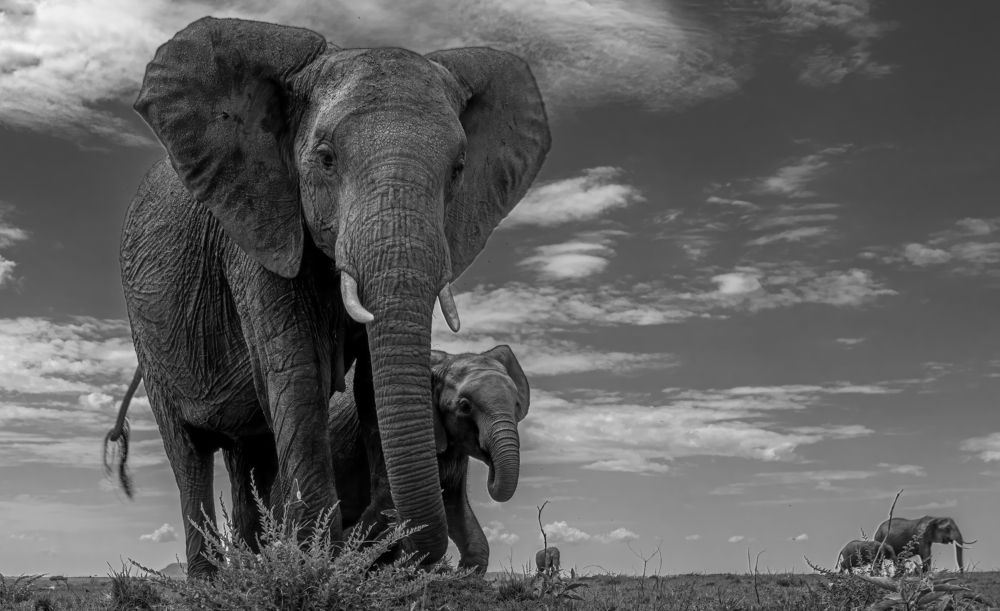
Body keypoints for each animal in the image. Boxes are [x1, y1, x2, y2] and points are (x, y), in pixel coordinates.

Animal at [324, 345, 529, 573]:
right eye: (465, 406)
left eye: (517, 404)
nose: (491, 473)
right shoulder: (383, 426)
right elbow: (388, 499)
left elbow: (455, 505)